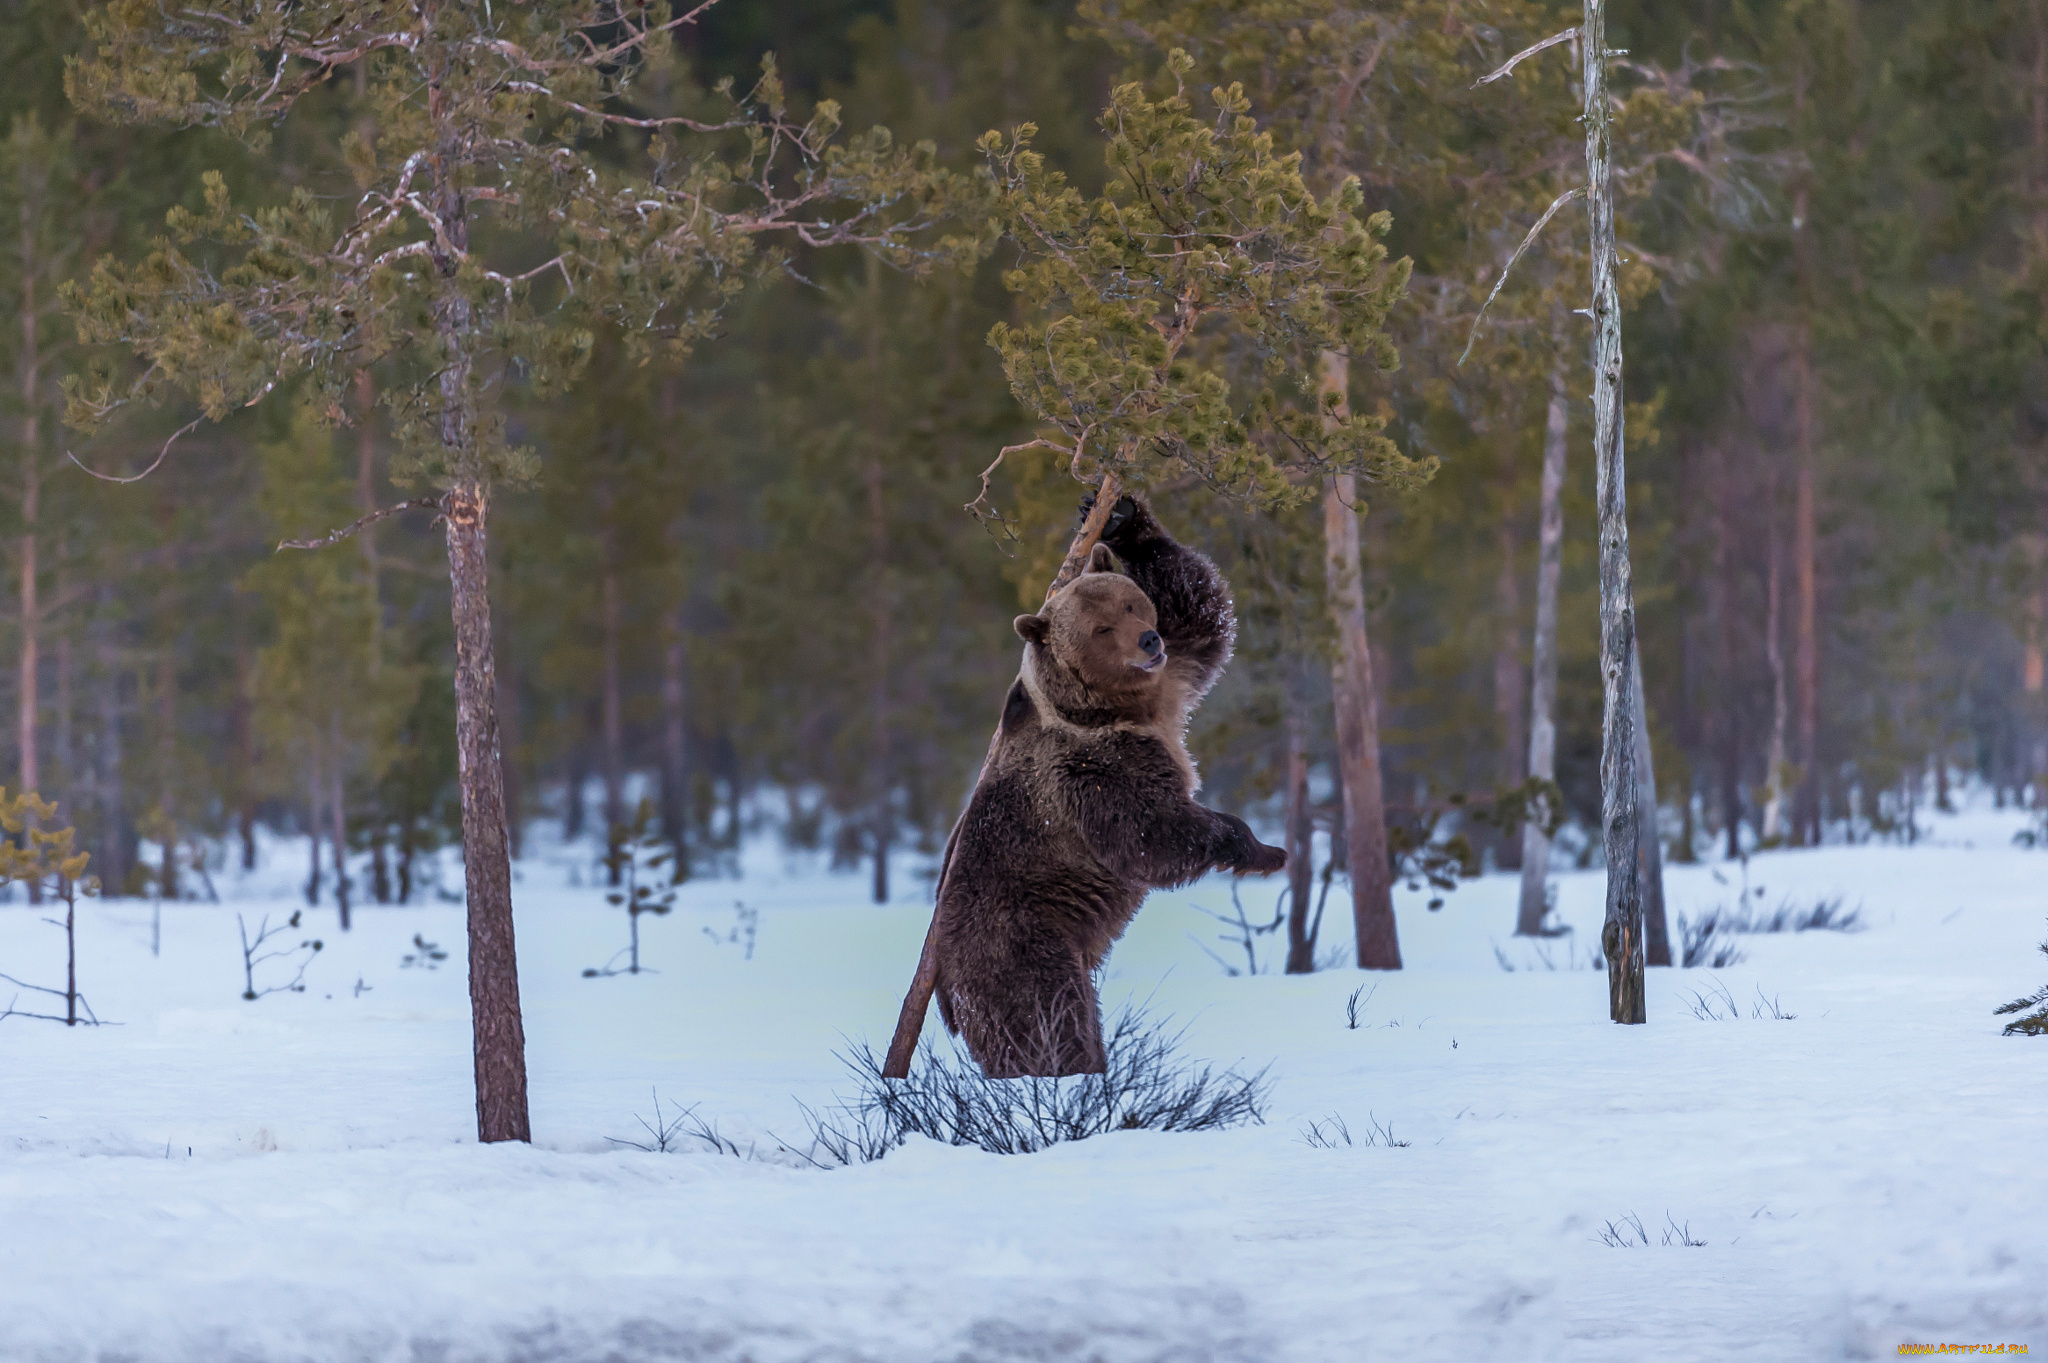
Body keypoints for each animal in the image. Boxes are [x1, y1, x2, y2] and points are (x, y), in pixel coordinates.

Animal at [925, 493, 1277, 1080]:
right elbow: (1150, 834)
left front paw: (1116, 515)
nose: (1147, 640)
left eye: (1131, 605)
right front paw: (1256, 846)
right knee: (1043, 1012)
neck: (1114, 709)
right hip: (1018, 935)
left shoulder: (1171, 680)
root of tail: (942, 987)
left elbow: (1197, 604)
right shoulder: (1088, 774)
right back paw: (1069, 1069)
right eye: (1100, 630)